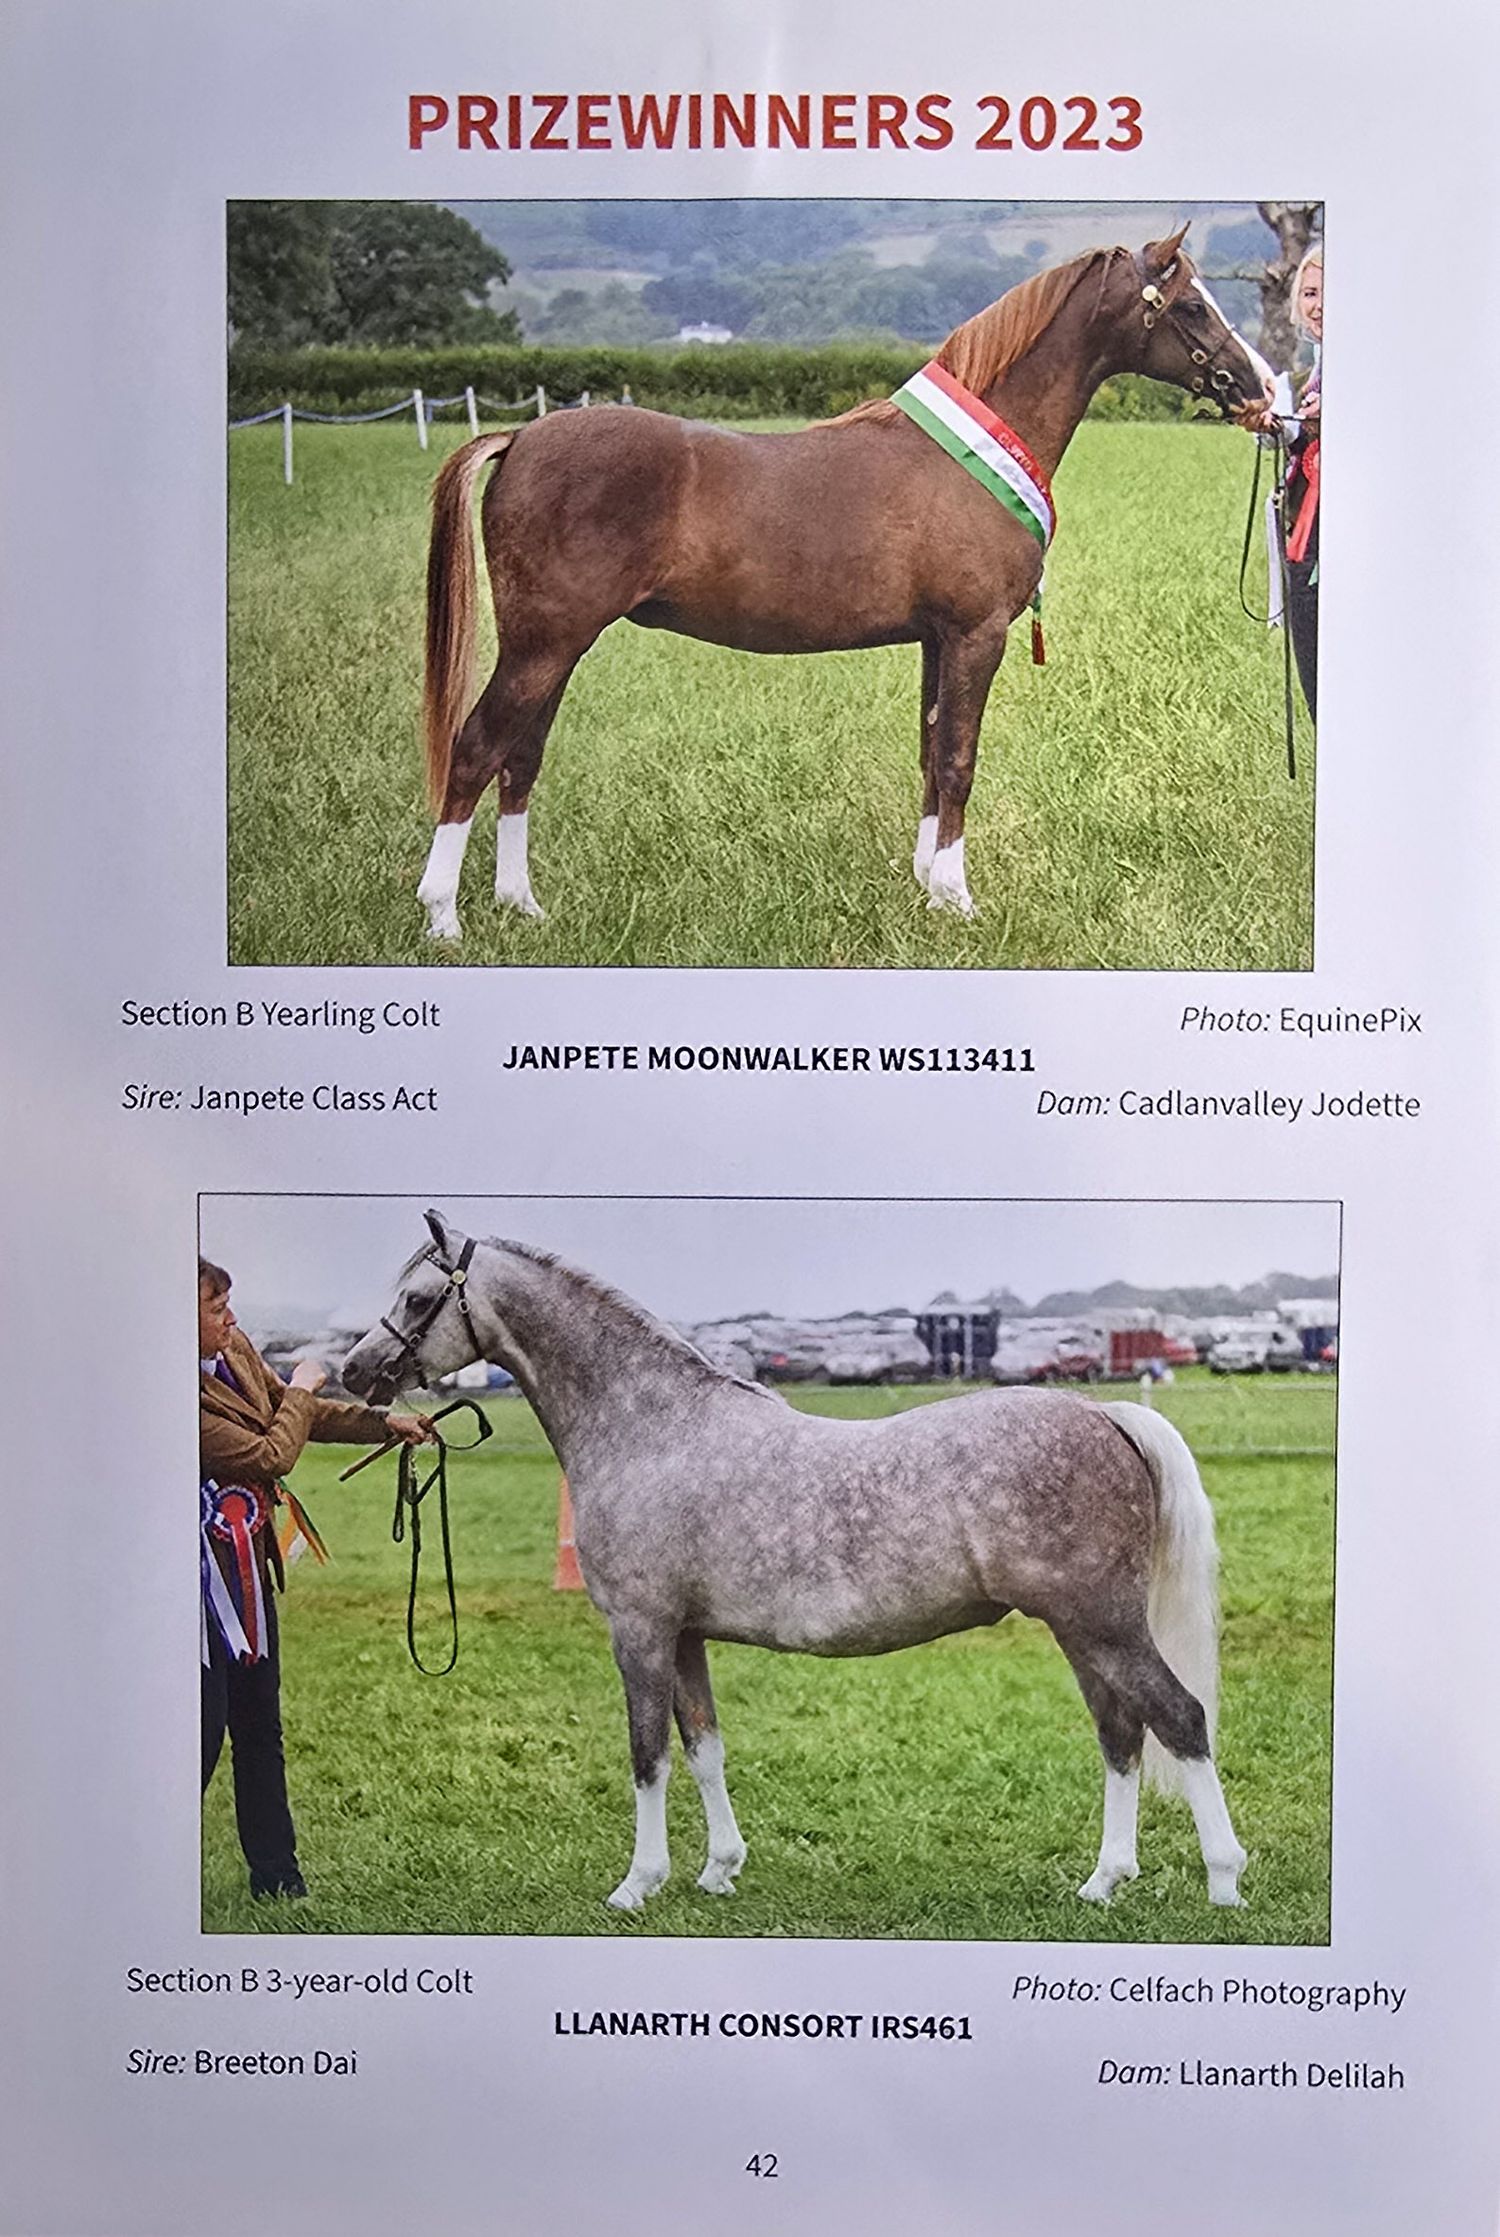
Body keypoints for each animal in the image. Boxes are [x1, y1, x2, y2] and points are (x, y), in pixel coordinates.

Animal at [342, 1212, 1247, 1915]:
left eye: (418, 1298)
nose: (355, 1371)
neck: (651, 1428)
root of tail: (1106, 1413)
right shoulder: (686, 1634)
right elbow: (703, 1746)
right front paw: (718, 1869)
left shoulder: (640, 1628)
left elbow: (647, 1753)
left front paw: (638, 1883)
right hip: (1081, 1628)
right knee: (1120, 1732)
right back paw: (1104, 1881)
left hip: (1101, 1620)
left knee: (1179, 1717)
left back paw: (1224, 1880)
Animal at [415, 229, 1273, 938]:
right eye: (1191, 303)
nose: (1261, 386)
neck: (972, 452)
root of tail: (520, 437)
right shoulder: (977, 636)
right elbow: (959, 760)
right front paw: (958, 898)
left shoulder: (938, 640)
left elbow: (930, 750)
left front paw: (927, 884)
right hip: (543, 645)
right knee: (477, 749)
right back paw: (443, 919)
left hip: (556, 648)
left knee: (521, 758)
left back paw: (522, 904)